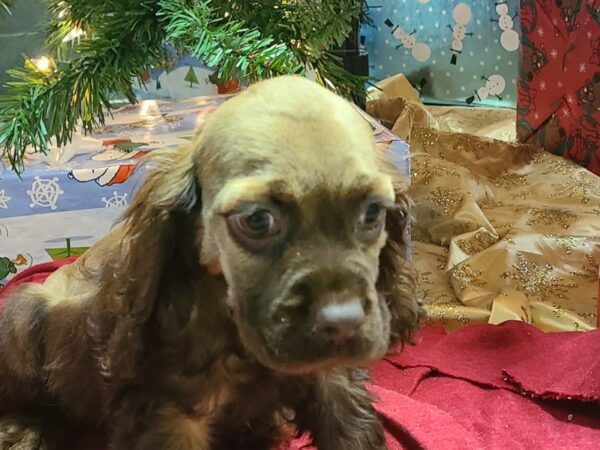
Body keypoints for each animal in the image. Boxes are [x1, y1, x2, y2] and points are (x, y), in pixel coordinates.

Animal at [0, 76, 420, 450]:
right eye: (257, 220)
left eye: (372, 213)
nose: (344, 322)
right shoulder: (172, 414)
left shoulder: (332, 378)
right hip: (23, 318)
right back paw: (26, 431)